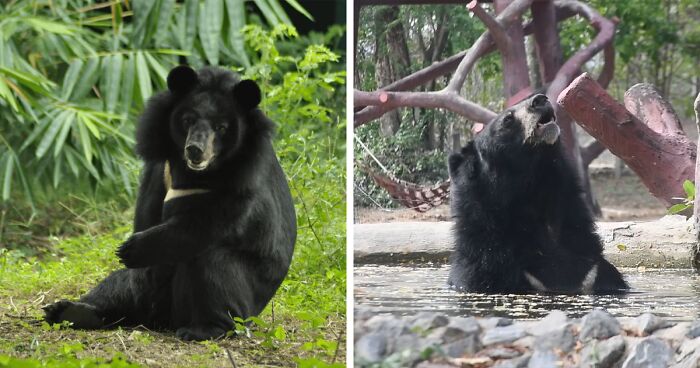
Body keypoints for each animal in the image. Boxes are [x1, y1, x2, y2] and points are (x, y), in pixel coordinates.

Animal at [43, 65, 296, 340]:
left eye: (221, 127)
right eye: (187, 120)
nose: (195, 150)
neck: (197, 173)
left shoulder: (243, 181)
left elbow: (210, 223)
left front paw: (130, 248)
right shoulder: (158, 168)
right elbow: (147, 218)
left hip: (237, 299)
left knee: (214, 264)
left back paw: (204, 328)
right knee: (117, 285)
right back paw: (67, 311)